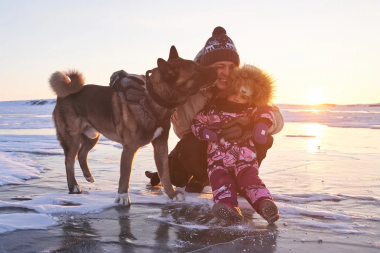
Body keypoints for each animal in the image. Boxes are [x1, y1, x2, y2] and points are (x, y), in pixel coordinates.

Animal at [48, 46, 217, 206]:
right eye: (197, 71)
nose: (216, 69)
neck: (152, 99)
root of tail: (65, 94)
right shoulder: (129, 148)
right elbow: (125, 175)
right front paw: (123, 197)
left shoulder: (161, 145)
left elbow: (165, 174)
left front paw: (172, 195)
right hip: (73, 138)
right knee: (69, 161)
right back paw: (74, 186)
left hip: (92, 136)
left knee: (82, 154)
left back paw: (88, 176)